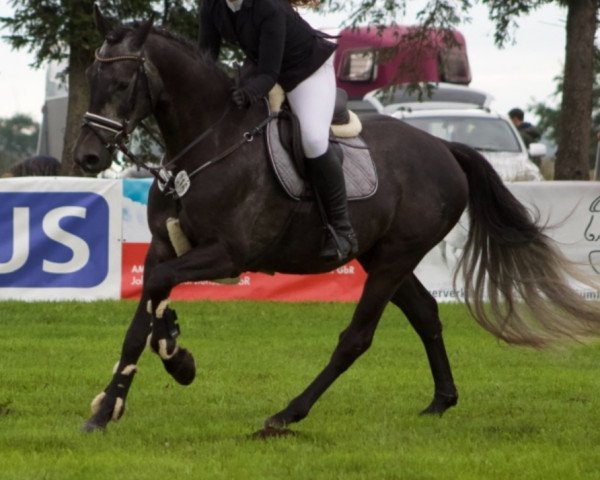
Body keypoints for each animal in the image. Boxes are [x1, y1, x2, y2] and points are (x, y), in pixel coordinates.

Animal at [74, 7, 600, 436]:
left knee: (356, 338)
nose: (87, 156)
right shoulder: (165, 247)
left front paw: (168, 365)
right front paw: (132, 390)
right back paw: (440, 402)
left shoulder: (228, 255)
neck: (206, 145)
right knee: (425, 313)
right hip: (381, 255)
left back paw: (285, 415)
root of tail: (445, 147)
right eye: (91, 78)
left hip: (395, 257)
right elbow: (145, 312)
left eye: (122, 84)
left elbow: (157, 291)